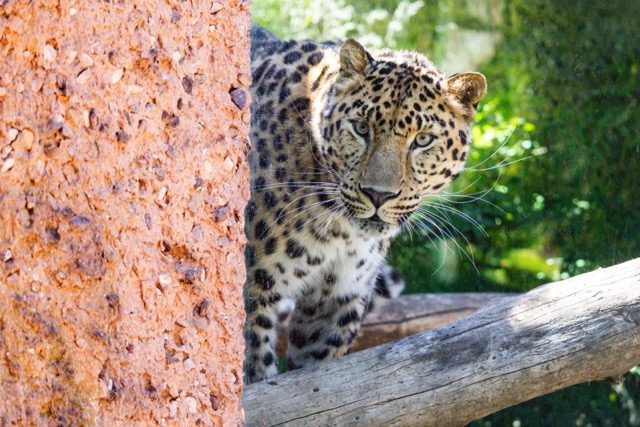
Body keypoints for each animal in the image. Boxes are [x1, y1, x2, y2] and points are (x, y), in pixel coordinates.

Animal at [243, 26, 486, 383]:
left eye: (422, 140)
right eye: (361, 128)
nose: (378, 195)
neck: (336, 229)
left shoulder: (336, 301)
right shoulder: (252, 293)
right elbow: (251, 371)